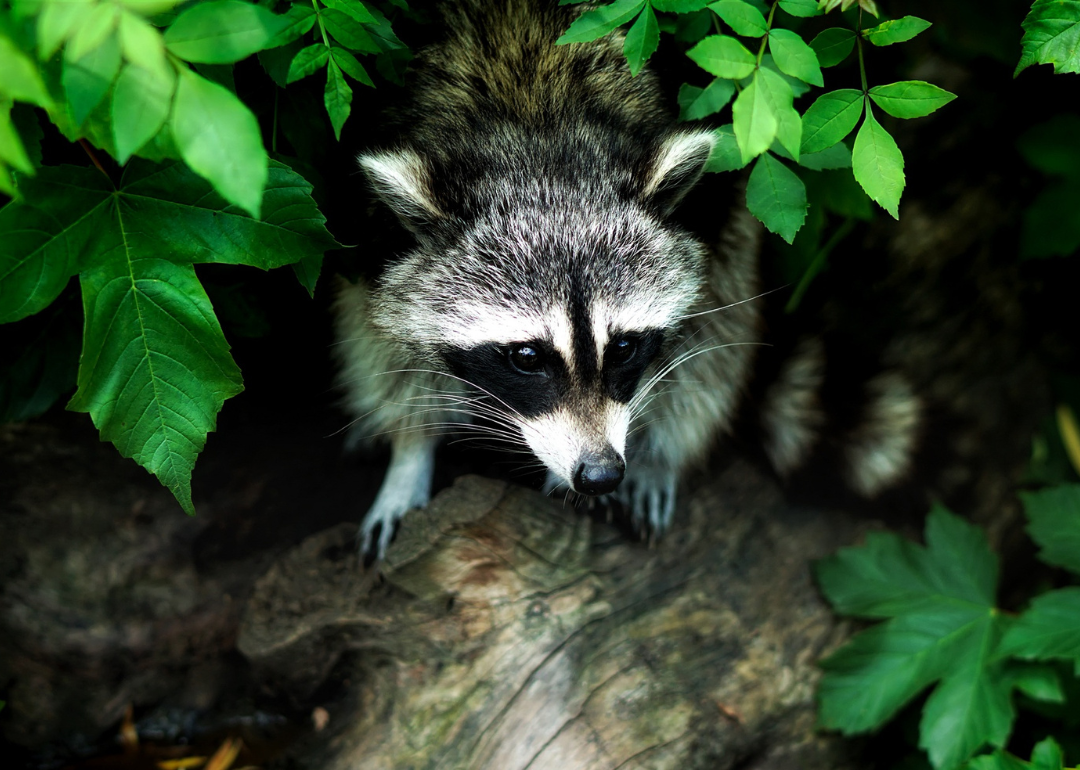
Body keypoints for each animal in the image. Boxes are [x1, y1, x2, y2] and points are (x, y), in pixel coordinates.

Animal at [330, 0, 920, 557]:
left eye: (623, 348)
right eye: (527, 357)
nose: (600, 473)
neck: (537, 130)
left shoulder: (708, 208)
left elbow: (708, 332)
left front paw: (656, 453)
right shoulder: (375, 234)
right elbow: (383, 343)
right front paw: (410, 453)